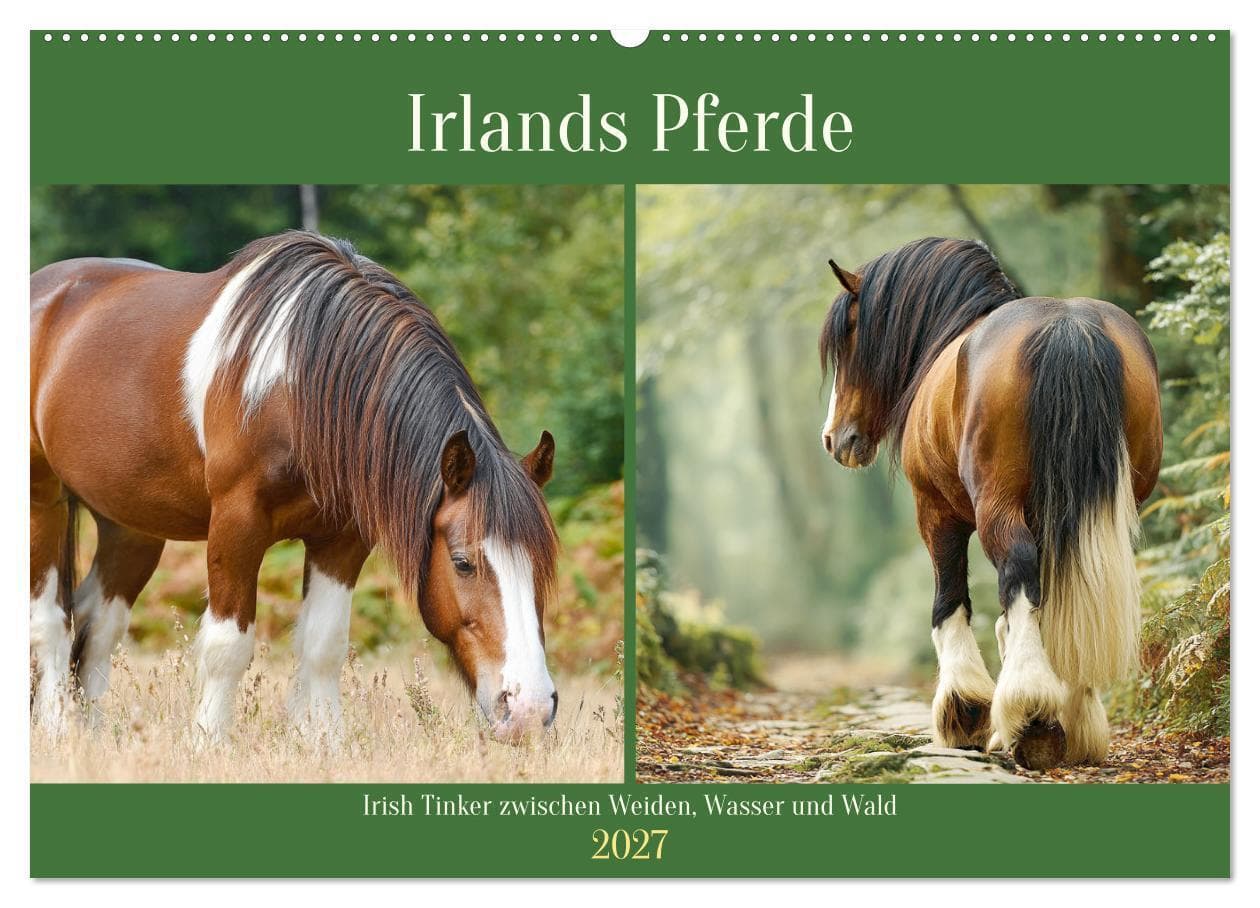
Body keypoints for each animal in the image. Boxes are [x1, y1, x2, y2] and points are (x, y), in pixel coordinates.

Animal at [30, 230, 561, 745]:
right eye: (463, 562)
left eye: (541, 566)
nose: (529, 710)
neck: (297, 388)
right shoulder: (237, 524)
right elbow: (228, 645)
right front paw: (209, 742)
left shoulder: (342, 539)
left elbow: (324, 644)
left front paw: (325, 742)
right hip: (43, 502)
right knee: (51, 620)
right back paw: (58, 729)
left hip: (131, 525)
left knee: (98, 624)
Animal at [818, 237, 1162, 770]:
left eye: (851, 335)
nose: (835, 438)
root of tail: (1068, 326)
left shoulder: (936, 511)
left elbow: (950, 602)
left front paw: (965, 710)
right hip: (1098, 511)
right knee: (1077, 583)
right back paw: (1072, 719)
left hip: (996, 505)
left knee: (1017, 572)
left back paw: (1032, 712)